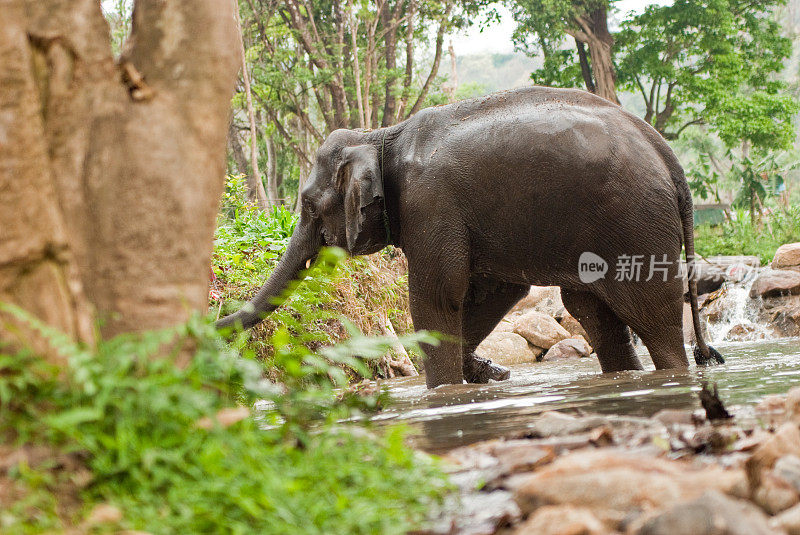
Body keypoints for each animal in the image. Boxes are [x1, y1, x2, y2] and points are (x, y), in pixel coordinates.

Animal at [217, 88, 724, 390]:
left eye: (306, 206)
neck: (381, 136)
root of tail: (666, 154)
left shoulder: (430, 204)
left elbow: (436, 298)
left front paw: (447, 390)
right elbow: (493, 293)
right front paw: (480, 372)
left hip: (634, 226)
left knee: (652, 314)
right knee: (590, 309)